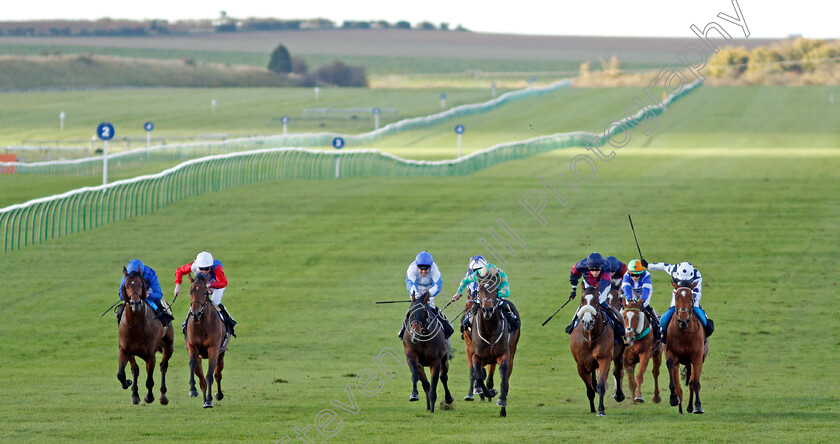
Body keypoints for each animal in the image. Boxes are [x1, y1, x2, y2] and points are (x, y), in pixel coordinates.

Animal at [116, 268, 174, 406]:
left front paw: (149, 397)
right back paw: (135, 394)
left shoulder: (150, 355)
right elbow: (121, 374)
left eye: (141, 285)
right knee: (135, 369)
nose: (135, 303)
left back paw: (163, 396)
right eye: (127, 285)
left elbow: (149, 380)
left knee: (163, 366)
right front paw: (129, 384)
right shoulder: (125, 350)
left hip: (168, 346)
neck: (135, 326)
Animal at [185, 272, 226, 408]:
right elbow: (192, 365)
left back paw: (218, 395)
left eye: (205, 292)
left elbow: (210, 375)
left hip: (221, 353)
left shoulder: (213, 349)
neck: (202, 324)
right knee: (201, 379)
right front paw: (192, 389)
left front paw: (208, 400)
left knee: (217, 374)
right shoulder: (192, 347)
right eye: (190, 291)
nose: (195, 313)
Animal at [466, 284, 520, 416]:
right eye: (479, 291)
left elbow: (503, 375)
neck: (489, 330)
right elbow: (478, 375)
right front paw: (488, 392)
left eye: (495, 290)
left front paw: (502, 401)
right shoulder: (476, 355)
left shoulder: (503, 354)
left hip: (512, 350)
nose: (488, 310)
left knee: (506, 376)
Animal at [568, 286, 628, 414]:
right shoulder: (580, 364)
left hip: (619, 354)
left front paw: (601, 410)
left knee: (617, 372)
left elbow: (601, 385)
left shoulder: (604, 359)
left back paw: (619, 395)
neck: (590, 338)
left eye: (596, 301)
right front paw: (592, 408)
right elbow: (589, 389)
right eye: (582, 300)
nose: (587, 322)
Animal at [668, 282, 712, 414]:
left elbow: (695, 382)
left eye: (691, 297)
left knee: (692, 382)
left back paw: (690, 407)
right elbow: (674, 378)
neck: (684, 333)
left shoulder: (697, 357)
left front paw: (698, 406)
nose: (683, 320)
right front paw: (673, 399)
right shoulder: (671, 354)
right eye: (676, 296)